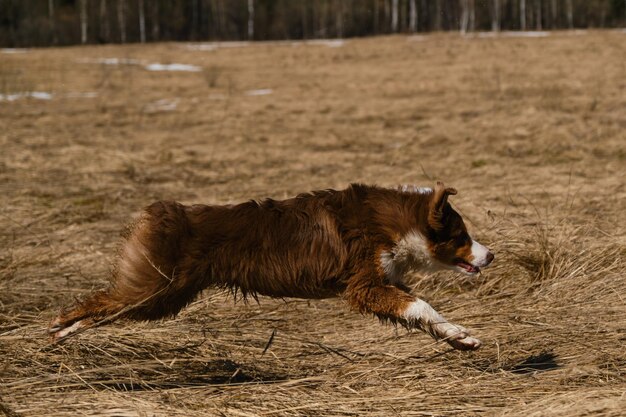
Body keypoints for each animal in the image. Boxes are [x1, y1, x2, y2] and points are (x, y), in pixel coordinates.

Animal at [50, 181, 492, 348]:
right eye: (462, 236)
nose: (491, 254)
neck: (396, 222)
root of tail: (165, 213)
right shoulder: (365, 285)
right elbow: (421, 304)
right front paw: (460, 335)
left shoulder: (384, 282)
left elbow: (423, 312)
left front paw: (458, 337)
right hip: (156, 289)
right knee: (99, 303)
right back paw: (60, 325)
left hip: (165, 296)